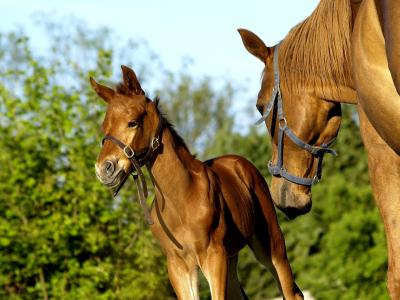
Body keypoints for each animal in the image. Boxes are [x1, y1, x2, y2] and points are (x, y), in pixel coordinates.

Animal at [90, 66, 304, 300]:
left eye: (133, 122)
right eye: (104, 127)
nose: (104, 169)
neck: (181, 198)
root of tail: (242, 164)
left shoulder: (214, 256)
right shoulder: (178, 265)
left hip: (271, 245)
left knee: (291, 291)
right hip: (232, 258)